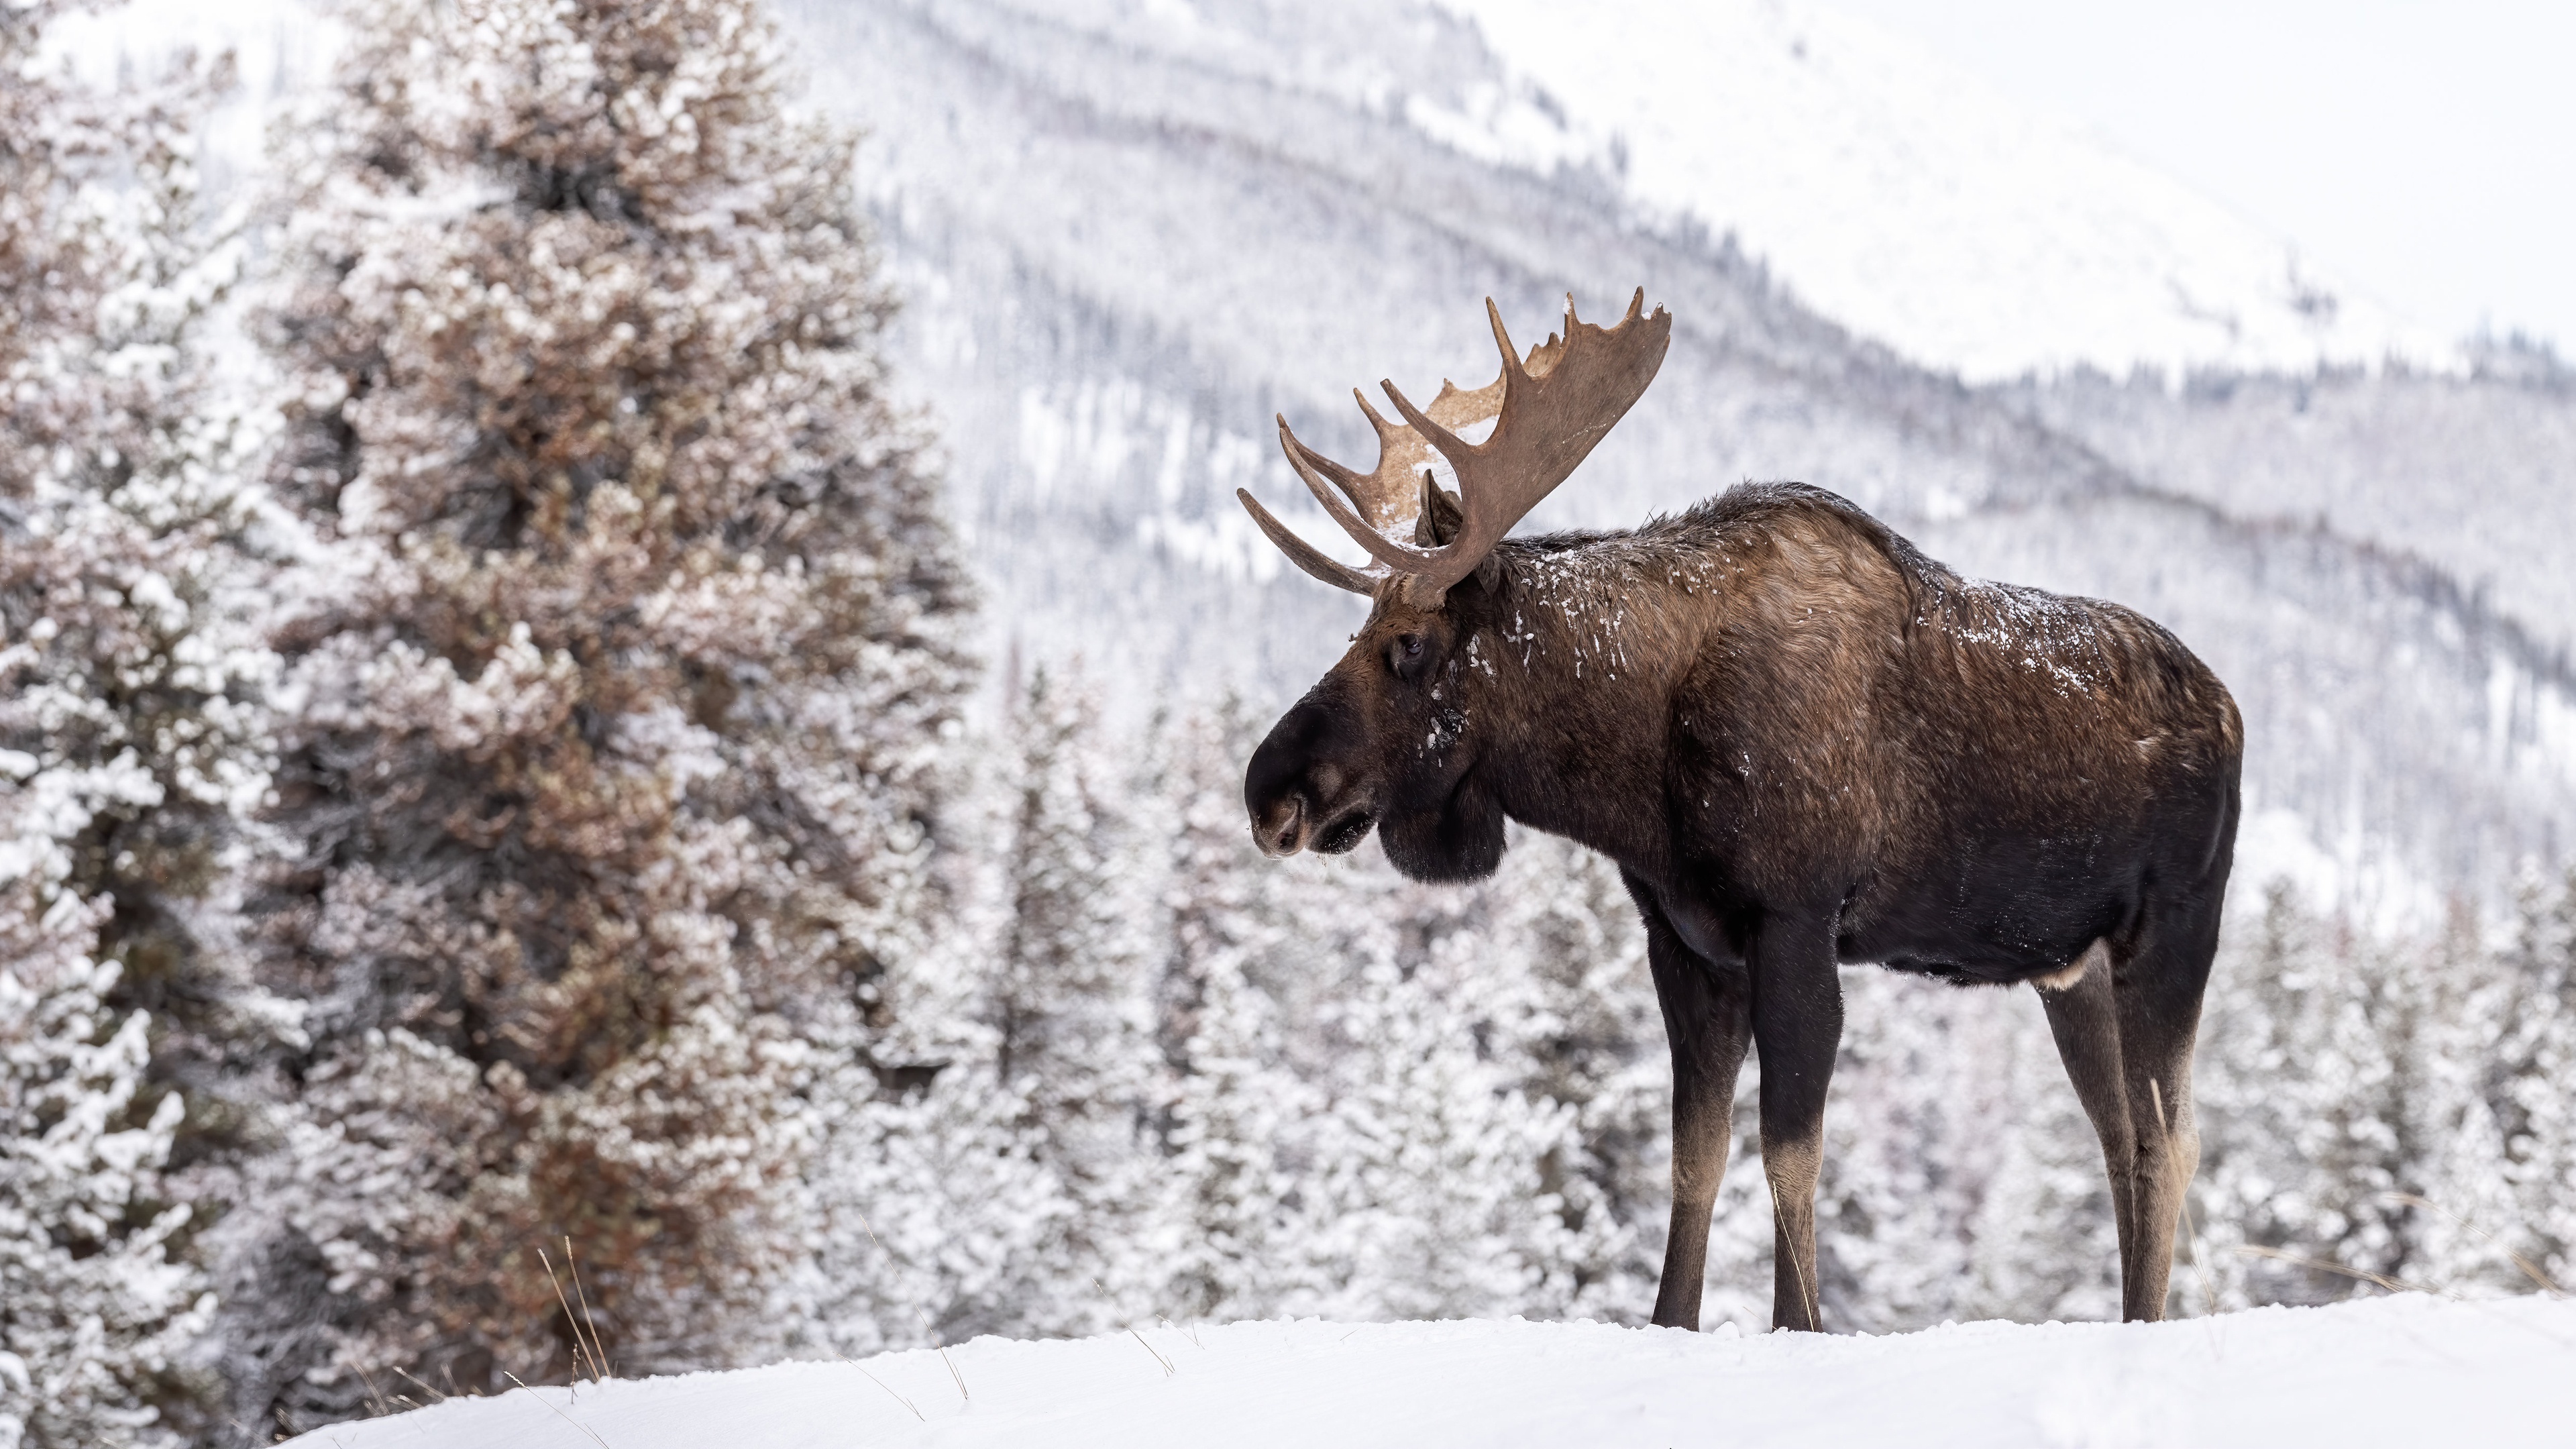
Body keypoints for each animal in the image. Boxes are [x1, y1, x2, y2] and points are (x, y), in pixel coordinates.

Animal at [1241, 287, 2236, 1330]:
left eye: (1408, 645)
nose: (1269, 791)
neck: (1637, 765)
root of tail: (2232, 709)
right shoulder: (1686, 943)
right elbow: (1695, 1159)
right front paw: (1674, 1321)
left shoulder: (1794, 923)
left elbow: (1790, 1158)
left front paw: (1797, 1325)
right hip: (2068, 969)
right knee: (2118, 1139)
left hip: (2172, 932)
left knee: (2170, 1141)